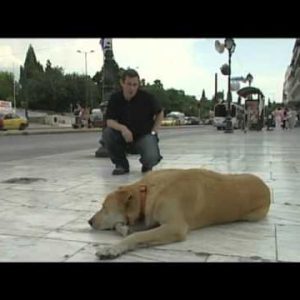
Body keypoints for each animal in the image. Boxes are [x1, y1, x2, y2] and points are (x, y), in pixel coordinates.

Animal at [88, 169, 270, 260]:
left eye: (104, 208)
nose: (89, 221)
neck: (148, 191)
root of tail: (266, 187)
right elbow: (130, 229)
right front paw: (125, 229)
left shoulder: (175, 227)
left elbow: (136, 236)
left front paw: (113, 248)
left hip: (252, 216)